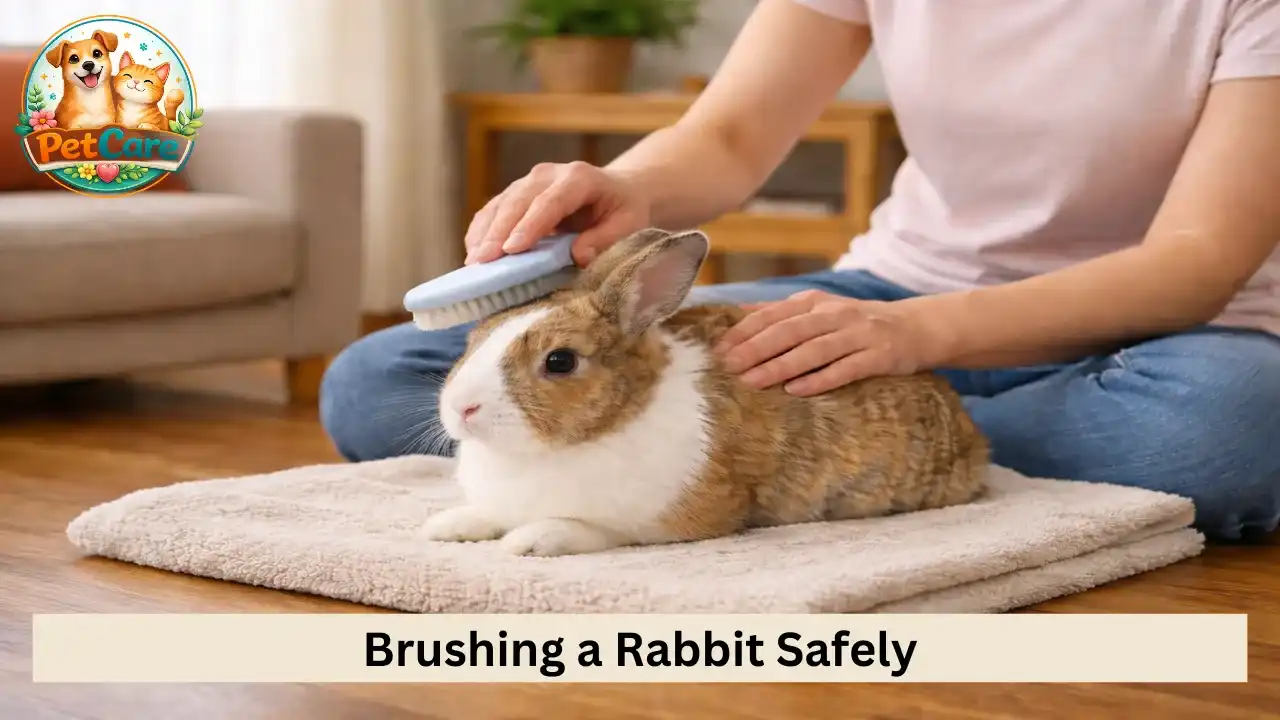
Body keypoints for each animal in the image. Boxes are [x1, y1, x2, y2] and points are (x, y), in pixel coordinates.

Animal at [420, 228, 990, 557]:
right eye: (475, 337)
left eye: (560, 361)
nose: (461, 409)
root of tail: (972, 438)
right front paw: (447, 526)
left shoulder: (664, 521)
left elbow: (591, 530)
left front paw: (530, 541)